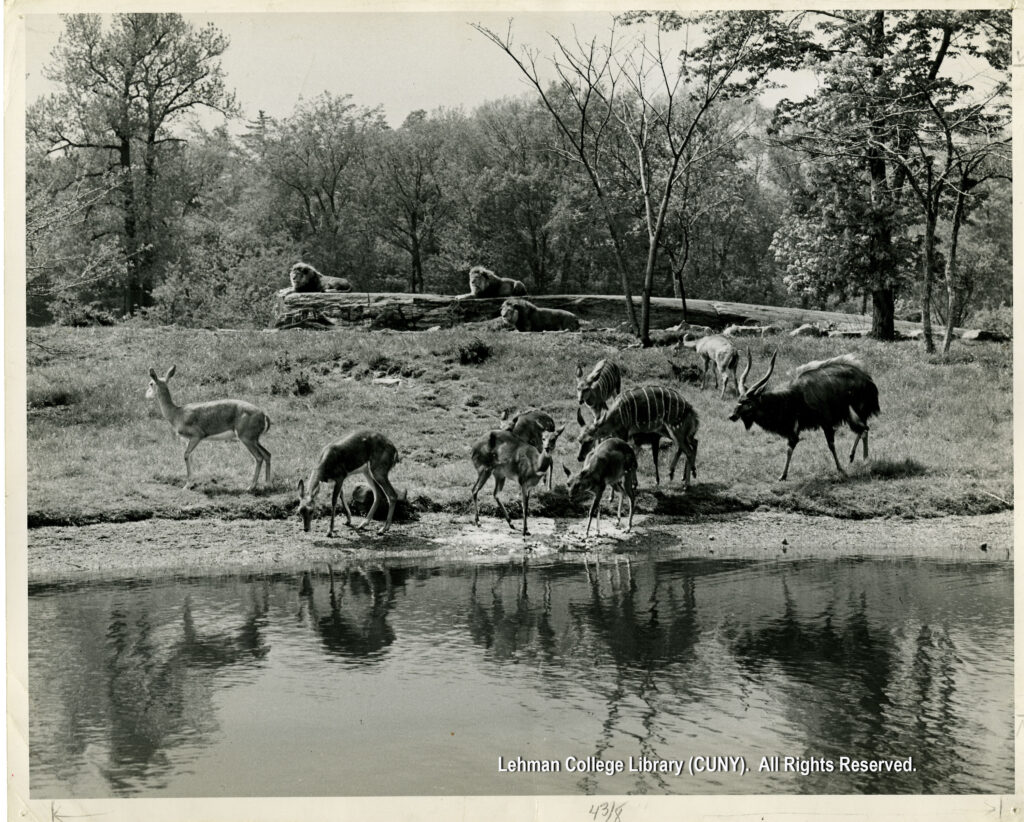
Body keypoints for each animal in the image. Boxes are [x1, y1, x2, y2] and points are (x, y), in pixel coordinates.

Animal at [729, 348, 880, 483]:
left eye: (748, 403)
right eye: (738, 400)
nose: (732, 416)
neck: (795, 396)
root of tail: (868, 380)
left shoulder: (826, 422)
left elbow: (831, 445)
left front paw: (841, 469)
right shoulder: (794, 429)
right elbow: (789, 448)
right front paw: (782, 476)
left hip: (857, 411)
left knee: (864, 429)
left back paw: (861, 458)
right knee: (864, 429)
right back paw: (858, 457)